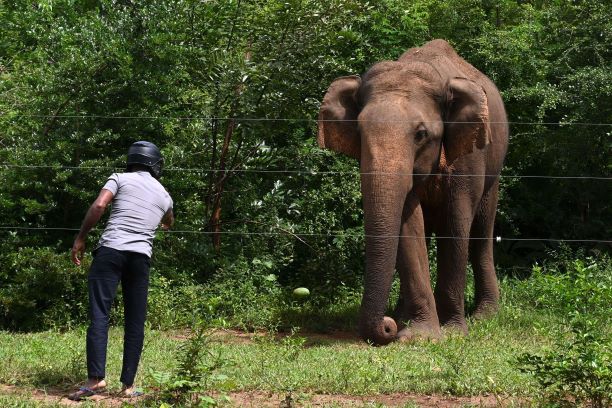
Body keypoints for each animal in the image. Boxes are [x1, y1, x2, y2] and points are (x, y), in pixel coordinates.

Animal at [318, 39, 510, 344]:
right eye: (359, 132)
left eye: (421, 134)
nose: (386, 326)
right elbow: (408, 225)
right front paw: (419, 335)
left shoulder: (468, 155)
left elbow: (455, 223)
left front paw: (452, 332)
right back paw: (402, 315)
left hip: (494, 165)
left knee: (481, 232)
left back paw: (484, 316)